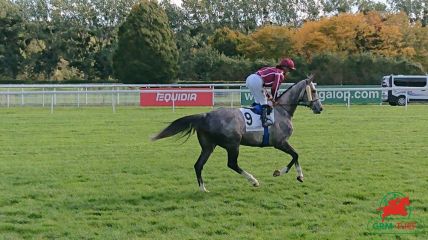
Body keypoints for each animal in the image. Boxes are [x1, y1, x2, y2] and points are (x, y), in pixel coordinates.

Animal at [152, 76, 322, 192]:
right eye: (313, 91)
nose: (320, 108)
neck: (282, 110)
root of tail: (206, 115)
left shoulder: (281, 143)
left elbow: (295, 155)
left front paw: (300, 176)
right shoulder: (279, 142)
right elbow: (295, 155)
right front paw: (280, 172)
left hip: (208, 146)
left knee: (198, 165)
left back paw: (203, 188)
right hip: (233, 144)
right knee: (232, 164)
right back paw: (253, 180)